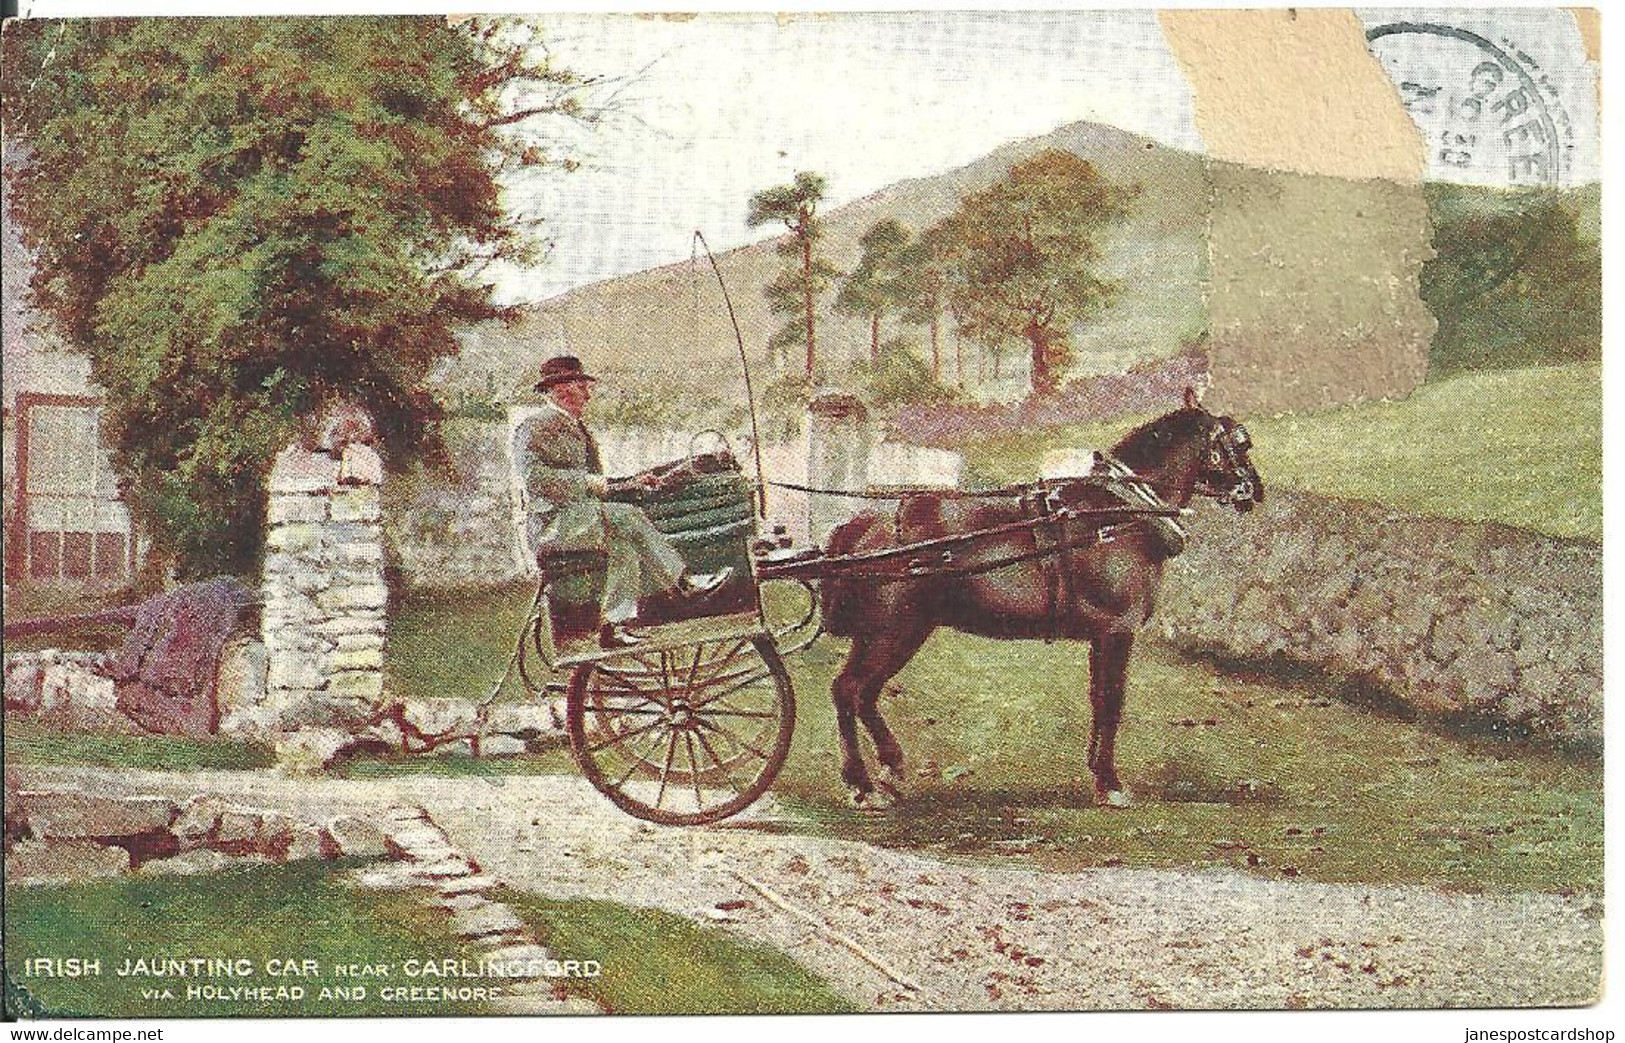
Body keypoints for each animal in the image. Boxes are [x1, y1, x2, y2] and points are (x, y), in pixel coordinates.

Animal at [819, 388, 1261, 805]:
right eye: (1240, 442)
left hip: (891, 633)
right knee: (851, 690)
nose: (1255, 491)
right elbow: (1112, 704)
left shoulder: (1101, 636)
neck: (1116, 514)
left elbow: (1098, 701)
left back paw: (887, 769)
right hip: (893, 632)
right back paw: (862, 782)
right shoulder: (1118, 631)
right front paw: (1111, 784)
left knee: (859, 693)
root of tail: (859, 526)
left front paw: (1098, 774)